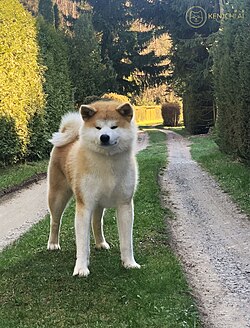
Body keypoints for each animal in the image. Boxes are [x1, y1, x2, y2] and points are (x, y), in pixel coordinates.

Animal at [47, 100, 141, 276]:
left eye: (114, 127)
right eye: (98, 127)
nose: (104, 137)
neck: (107, 162)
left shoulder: (125, 205)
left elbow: (127, 242)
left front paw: (129, 263)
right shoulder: (84, 205)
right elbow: (82, 244)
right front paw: (81, 268)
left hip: (99, 204)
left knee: (96, 223)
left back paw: (100, 243)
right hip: (57, 197)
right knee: (55, 221)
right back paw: (53, 244)